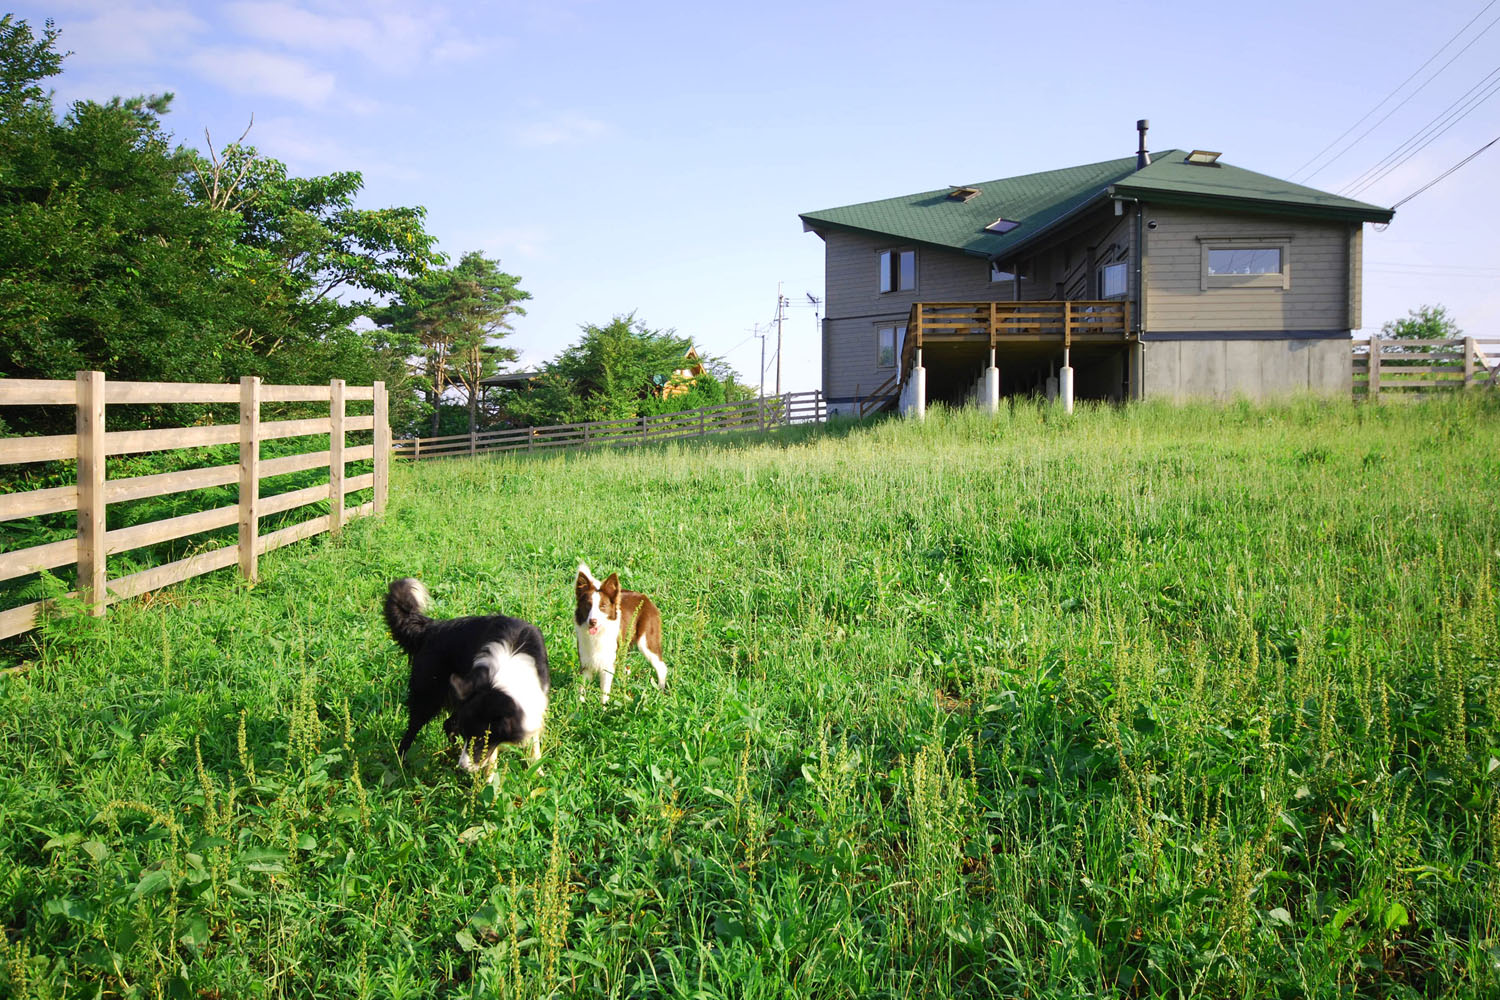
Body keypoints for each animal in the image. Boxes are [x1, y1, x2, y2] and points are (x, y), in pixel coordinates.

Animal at [387, 575, 552, 773]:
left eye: (481, 739)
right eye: (468, 735)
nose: (463, 768)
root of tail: (430, 627)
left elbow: (534, 742)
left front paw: (537, 771)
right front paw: (489, 778)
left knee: (447, 723)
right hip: (428, 693)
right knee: (414, 728)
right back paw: (401, 762)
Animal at [576, 563, 666, 704]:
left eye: (603, 606)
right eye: (587, 606)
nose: (592, 621)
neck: (598, 635)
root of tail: (645, 598)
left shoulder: (607, 664)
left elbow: (604, 692)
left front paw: (603, 708)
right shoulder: (585, 661)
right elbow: (582, 688)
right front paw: (579, 706)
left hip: (646, 641)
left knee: (661, 666)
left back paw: (660, 692)